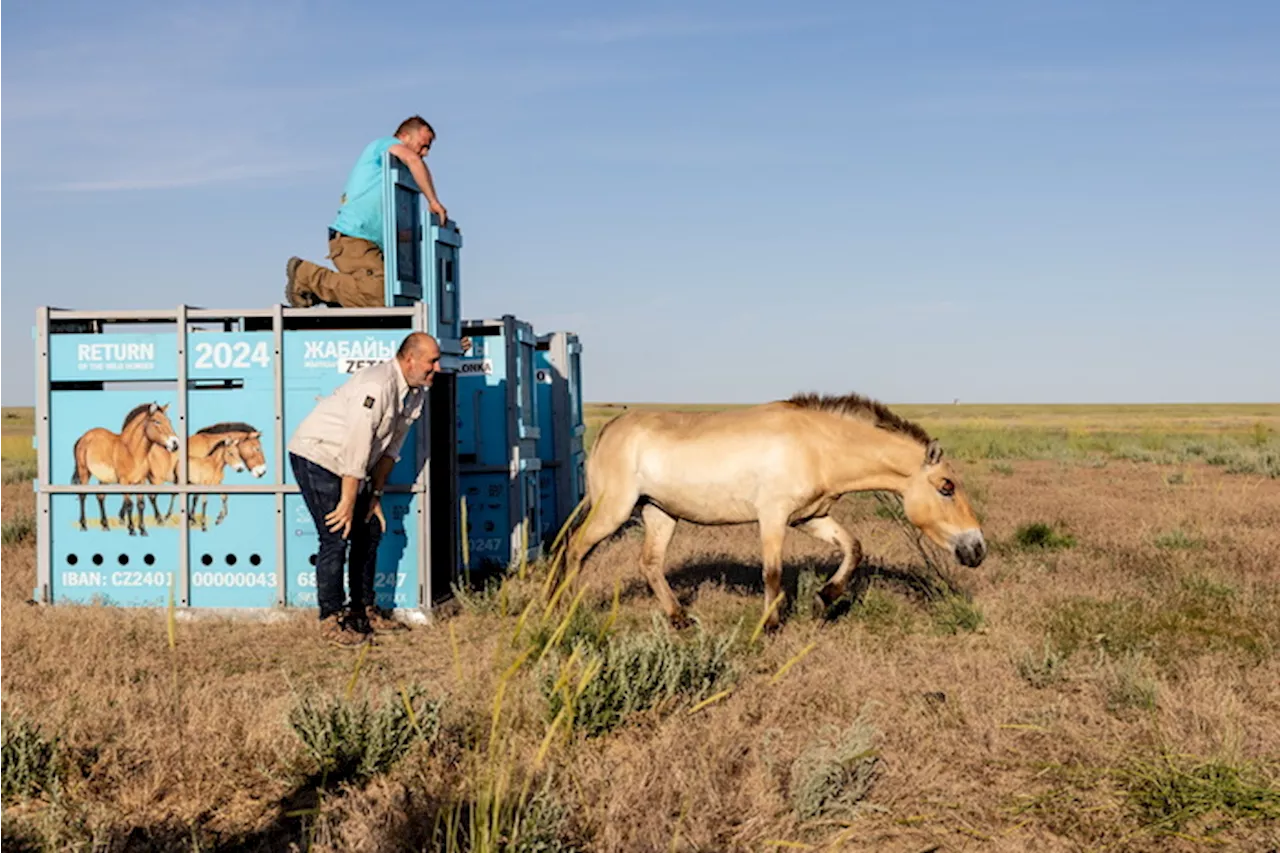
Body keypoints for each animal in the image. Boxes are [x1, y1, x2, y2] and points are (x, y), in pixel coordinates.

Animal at [72, 402, 180, 535]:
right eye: (157, 421)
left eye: (169, 421)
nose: (175, 444)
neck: (131, 451)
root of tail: (84, 437)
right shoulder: (124, 482)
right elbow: (129, 504)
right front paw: (132, 529)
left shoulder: (141, 481)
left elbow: (141, 504)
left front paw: (143, 530)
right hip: (84, 472)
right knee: (83, 495)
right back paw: (83, 525)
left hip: (103, 478)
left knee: (100, 497)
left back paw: (105, 525)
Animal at [563, 391, 988, 630]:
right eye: (947, 487)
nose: (977, 548)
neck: (817, 444)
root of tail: (611, 428)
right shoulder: (773, 517)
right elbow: (773, 572)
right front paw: (769, 625)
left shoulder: (811, 518)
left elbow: (853, 548)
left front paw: (824, 598)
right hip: (614, 510)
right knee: (575, 550)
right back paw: (563, 607)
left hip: (659, 512)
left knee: (649, 563)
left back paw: (679, 619)